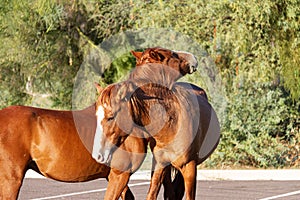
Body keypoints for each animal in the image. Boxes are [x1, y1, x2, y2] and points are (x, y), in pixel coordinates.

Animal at [92, 64, 219, 200]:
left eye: (111, 117)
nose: (98, 155)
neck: (172, 125)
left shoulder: (189, 167)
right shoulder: (160, 164)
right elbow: (152, 194)